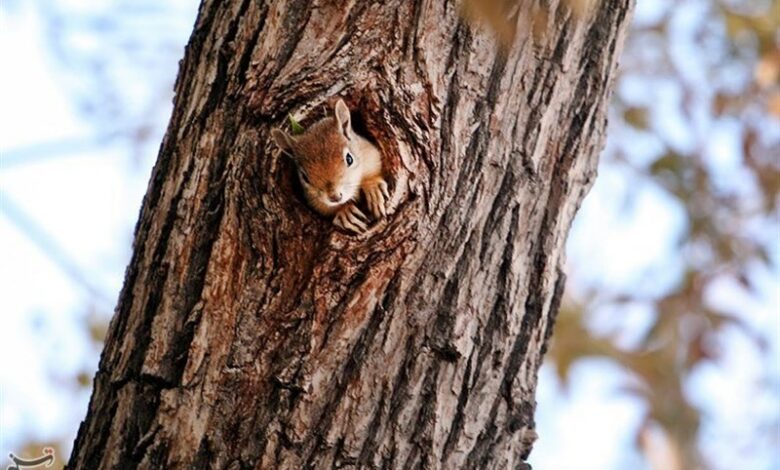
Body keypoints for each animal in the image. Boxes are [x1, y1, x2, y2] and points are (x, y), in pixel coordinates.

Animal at [272, 99, 388, 233]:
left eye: (349, 159)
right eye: (305, 177)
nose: (335, 197)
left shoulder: (370, 155)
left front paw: (373, 188)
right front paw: (345, 212)